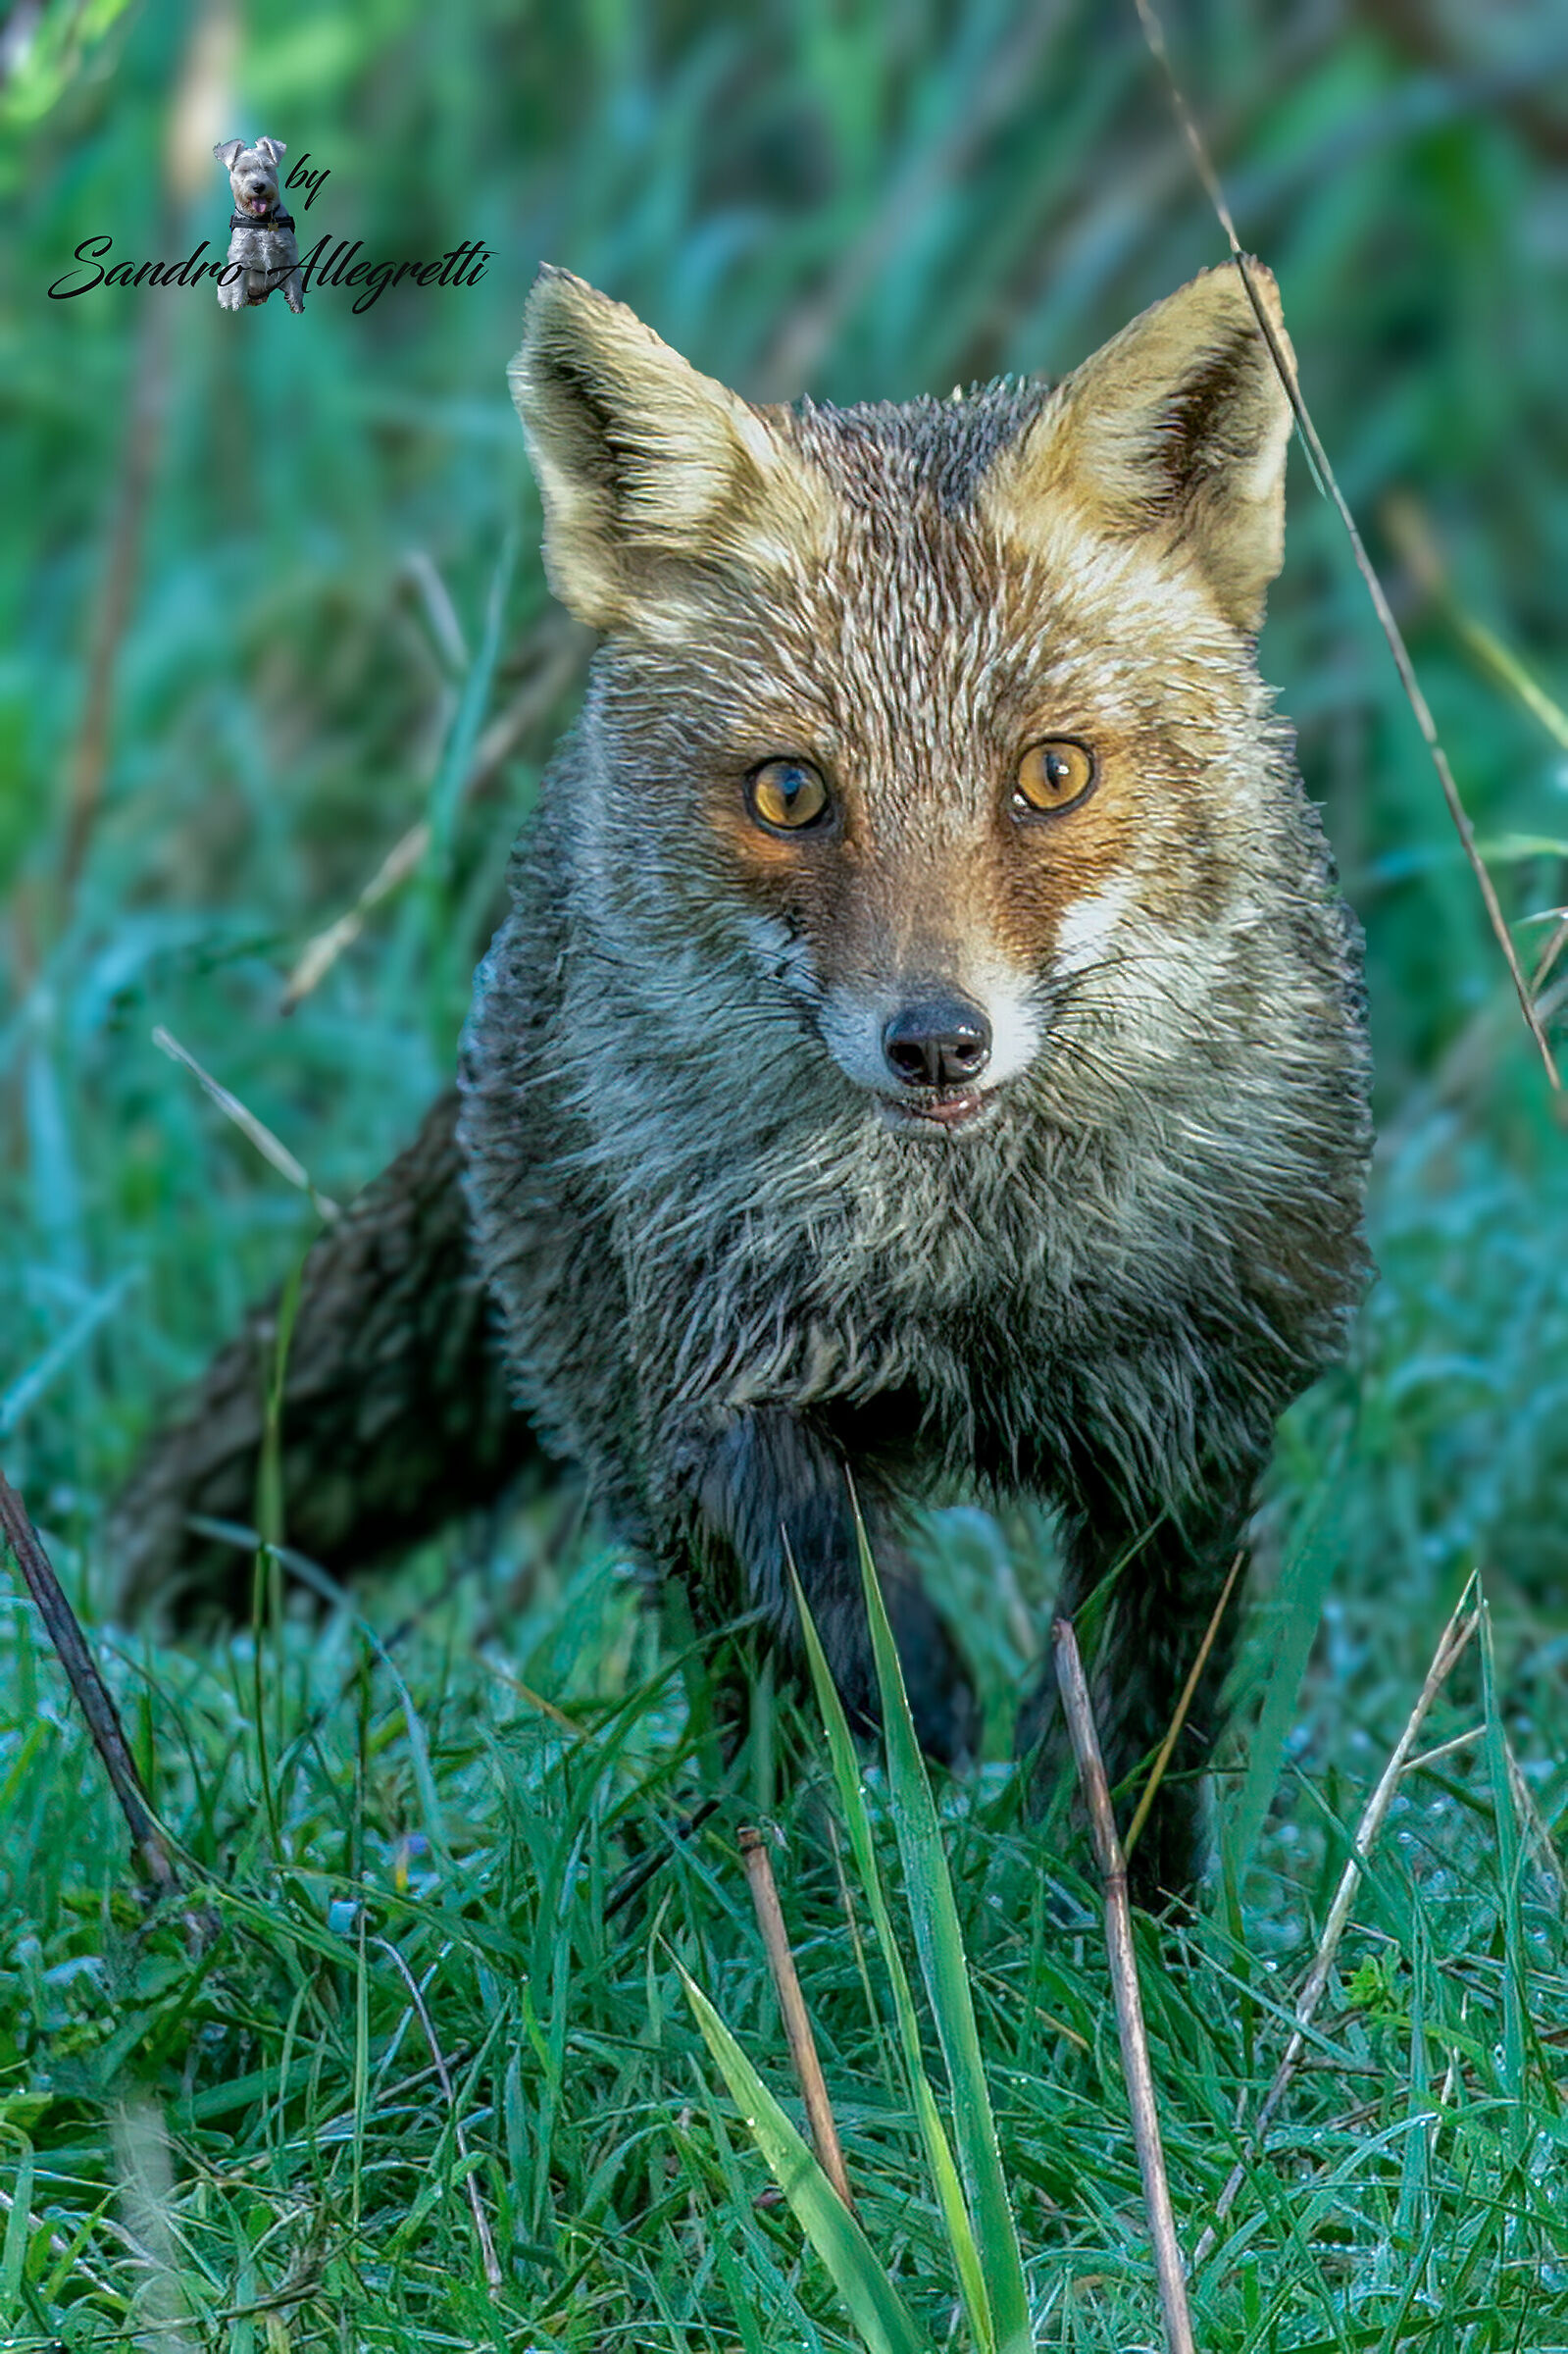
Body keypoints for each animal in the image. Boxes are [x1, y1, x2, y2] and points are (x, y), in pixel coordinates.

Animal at [112, 258, 1372, 1902]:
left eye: (1051, 775)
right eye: (789, 793)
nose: (935, 1040)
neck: (974, 1268)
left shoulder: (1192, 1422)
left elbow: (1146, 1718)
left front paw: (1132, 1923)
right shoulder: (716, 1360)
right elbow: (806, 1553)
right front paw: (912, 1692)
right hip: (611, 1409)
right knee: (740, 1701)